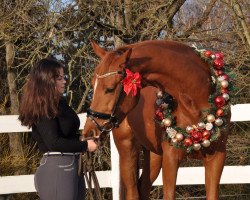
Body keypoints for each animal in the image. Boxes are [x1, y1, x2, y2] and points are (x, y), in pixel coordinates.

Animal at [82, 39, 230, 199]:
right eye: (92, 84)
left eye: (109, 89)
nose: (89, 132)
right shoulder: (171, 157)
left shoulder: (217, 158)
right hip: (127, 149)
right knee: (133, 192)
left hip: (154, 155)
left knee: (143, 187)